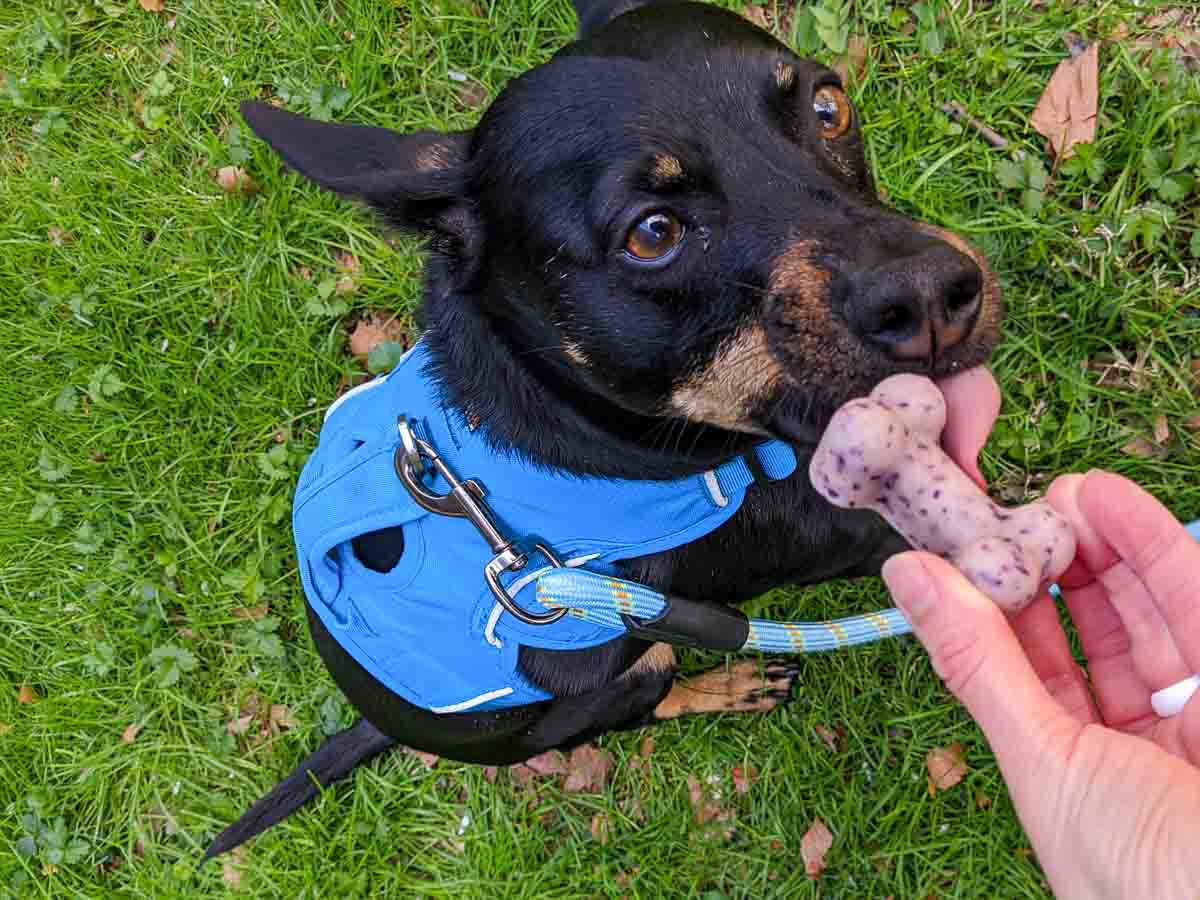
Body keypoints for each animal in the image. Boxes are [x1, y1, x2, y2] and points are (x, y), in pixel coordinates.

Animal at [201, 0, 998, 859]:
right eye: (653, 233)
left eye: (829, 108)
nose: (931, 296)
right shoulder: (847, 538)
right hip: (615, 675)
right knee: (649, 696)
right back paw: (730, 682)